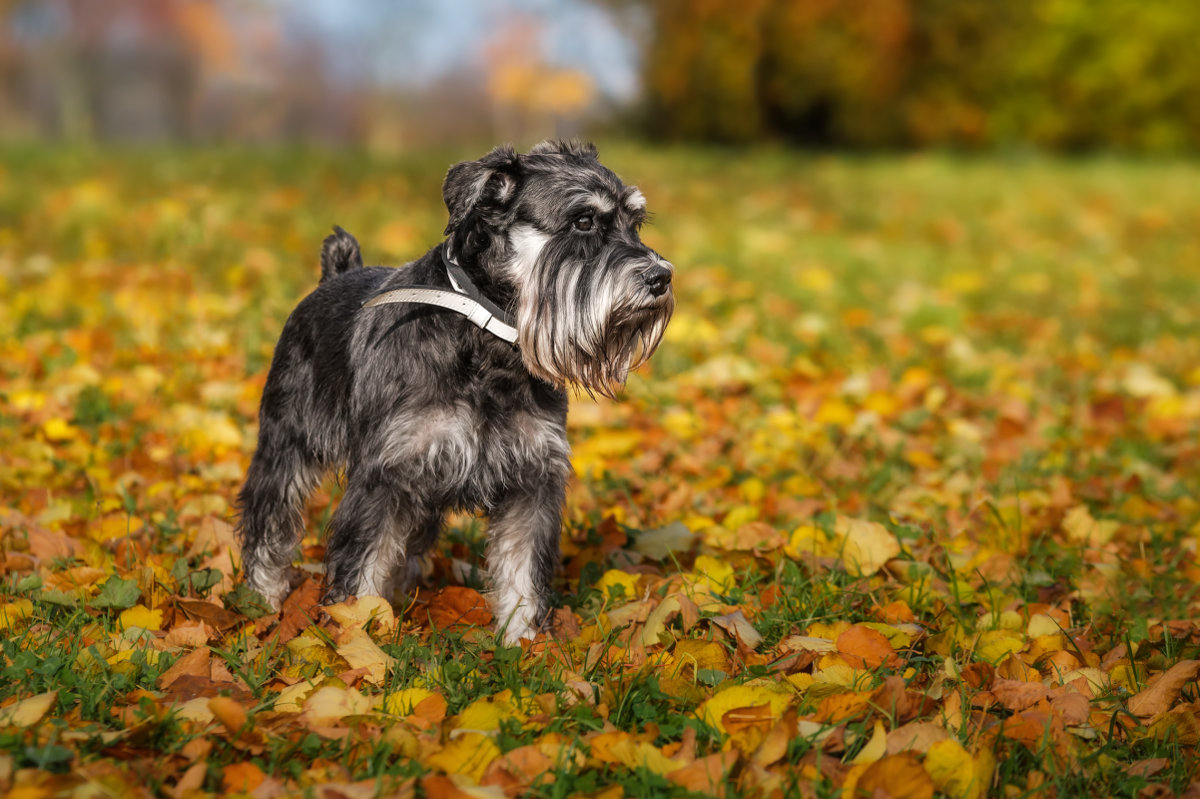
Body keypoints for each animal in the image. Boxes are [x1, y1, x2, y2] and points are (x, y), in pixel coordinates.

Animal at [234, 141, 676, 643]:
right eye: (583, 221)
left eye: (635, 223)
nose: (662, 277)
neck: (490, 343)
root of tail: (333, 277)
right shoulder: (384, 475)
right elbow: (361, 562)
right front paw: (358, 634)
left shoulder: (531, 478)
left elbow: (522, 569)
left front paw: (523, 642)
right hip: (288, 442)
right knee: (270, 518)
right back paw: (263, 599)